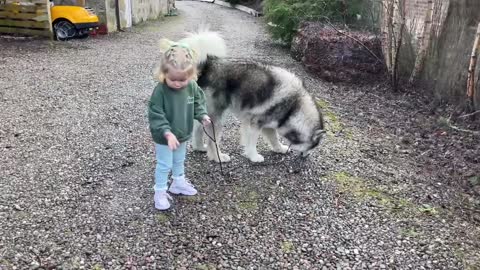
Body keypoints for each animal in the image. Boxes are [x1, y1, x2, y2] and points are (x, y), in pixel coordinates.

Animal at [181, 31, 326, 162]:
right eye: (312, 146)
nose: (307, 157)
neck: (294, 106)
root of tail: (209, 64)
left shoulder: (268, 125)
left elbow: (274, 138)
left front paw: (280, 148)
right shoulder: (255, 123)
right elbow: (252, 142)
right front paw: (254, 156)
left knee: (197, 129)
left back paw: (199, 147)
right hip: (216, 117)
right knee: (212, 141)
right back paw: (218, 157)